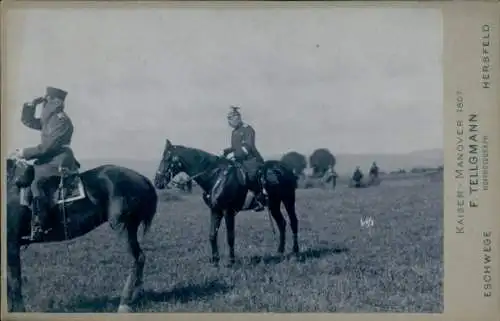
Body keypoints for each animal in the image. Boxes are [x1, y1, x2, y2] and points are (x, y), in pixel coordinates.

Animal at [5, 154, 157, 312]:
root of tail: (143, 178)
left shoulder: (11, 244)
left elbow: (14, 281)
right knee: (140, 259)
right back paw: (136, 296)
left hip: (123, 227)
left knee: (137, 258)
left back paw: (125, 302)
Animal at [154, 139, 298, 266]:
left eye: (167, 159)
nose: (157, 182)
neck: (215, 177)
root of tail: (286, 169)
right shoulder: (215, 210)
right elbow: (212, 235)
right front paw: (215, 261)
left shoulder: (228, 211)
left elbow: (230, 236)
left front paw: (231, 261)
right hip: (274, 204)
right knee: (282, 223)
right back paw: (280, 252)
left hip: (288, 200)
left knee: (293, 222)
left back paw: (295, 251)